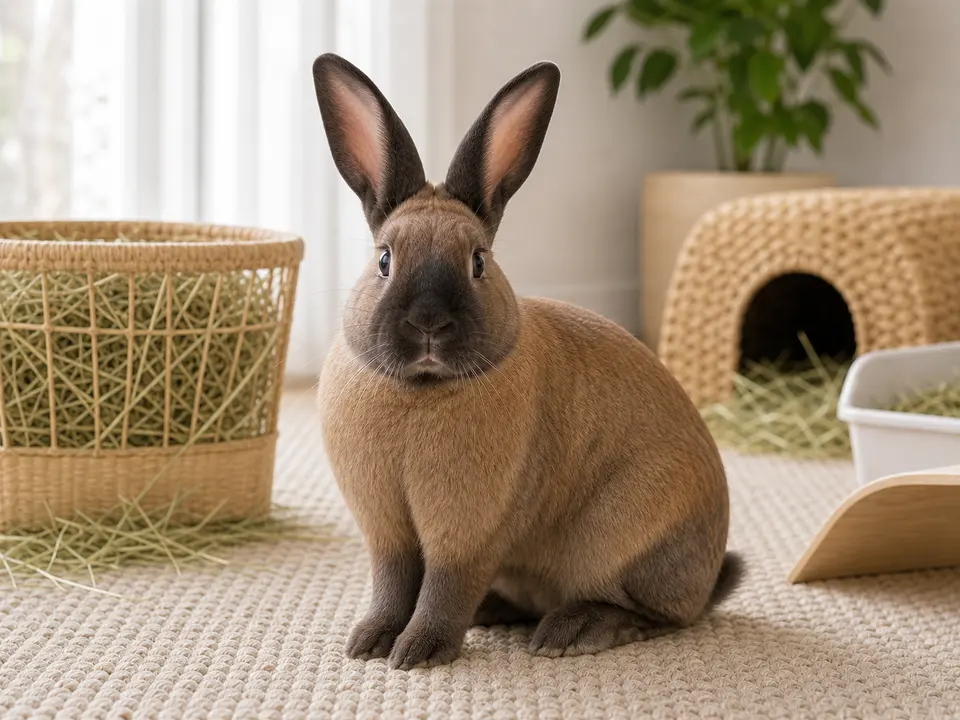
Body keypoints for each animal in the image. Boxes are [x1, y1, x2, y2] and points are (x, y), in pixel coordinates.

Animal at [312, 52, 743, 670]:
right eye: (384, 260)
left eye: (478, 262)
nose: (428, 323)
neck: (421, 388)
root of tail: (706, 581)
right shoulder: (387, 531)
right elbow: (393, 584)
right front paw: (370, 644)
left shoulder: (467, 532)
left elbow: (444, 586)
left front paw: (419, 652)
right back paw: (495, 612)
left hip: (624, 540)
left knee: (655, 615)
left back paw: (573, 630)